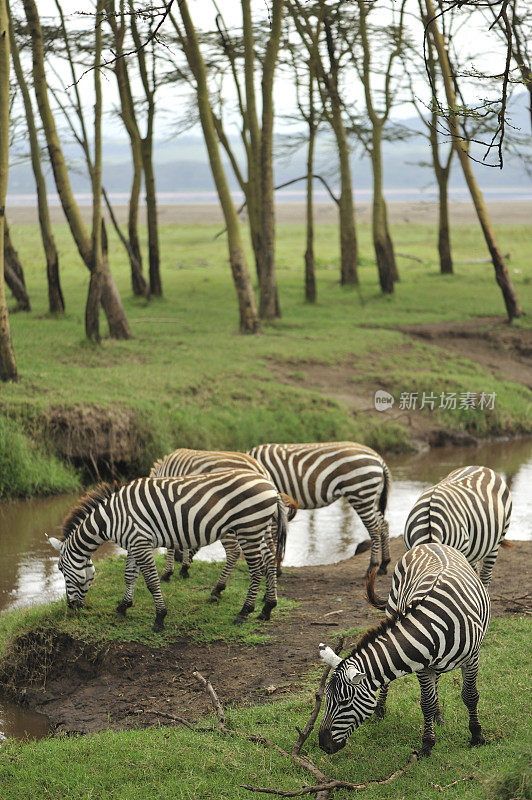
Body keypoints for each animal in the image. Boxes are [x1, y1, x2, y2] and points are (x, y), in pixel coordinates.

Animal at [48, 468, 288, 632]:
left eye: (61, 570)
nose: (71, 607)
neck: (110, 520)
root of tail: (270, 485)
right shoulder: (134, 543)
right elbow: (129, 576)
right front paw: (124, 606)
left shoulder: (140, 543)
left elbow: (151, 582)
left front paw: (160, 618)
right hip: (259, 528)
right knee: (268, 561)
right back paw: (267, 608)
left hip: (249, 528)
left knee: (256, 569)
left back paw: (244, 612)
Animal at [248, 440, 390, 572]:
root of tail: (377, 456)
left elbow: (273, 535)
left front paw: (276, 570)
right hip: (369, 496)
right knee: (383, 524)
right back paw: (384, 564)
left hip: (360, 494)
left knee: (374, 528)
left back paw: (373, 565)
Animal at [318, 544, 488, 756]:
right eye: (326, 698)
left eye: (344, 701)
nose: (322, 745)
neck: (431, 626)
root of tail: (430, 544)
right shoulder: (423, 667)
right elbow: (427, 703)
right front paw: (427, 744)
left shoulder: (472, 658)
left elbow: (470, 695)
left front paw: (477, 736)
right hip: (393, 607)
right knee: (393, 685)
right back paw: (381, 711)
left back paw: (439, 717)